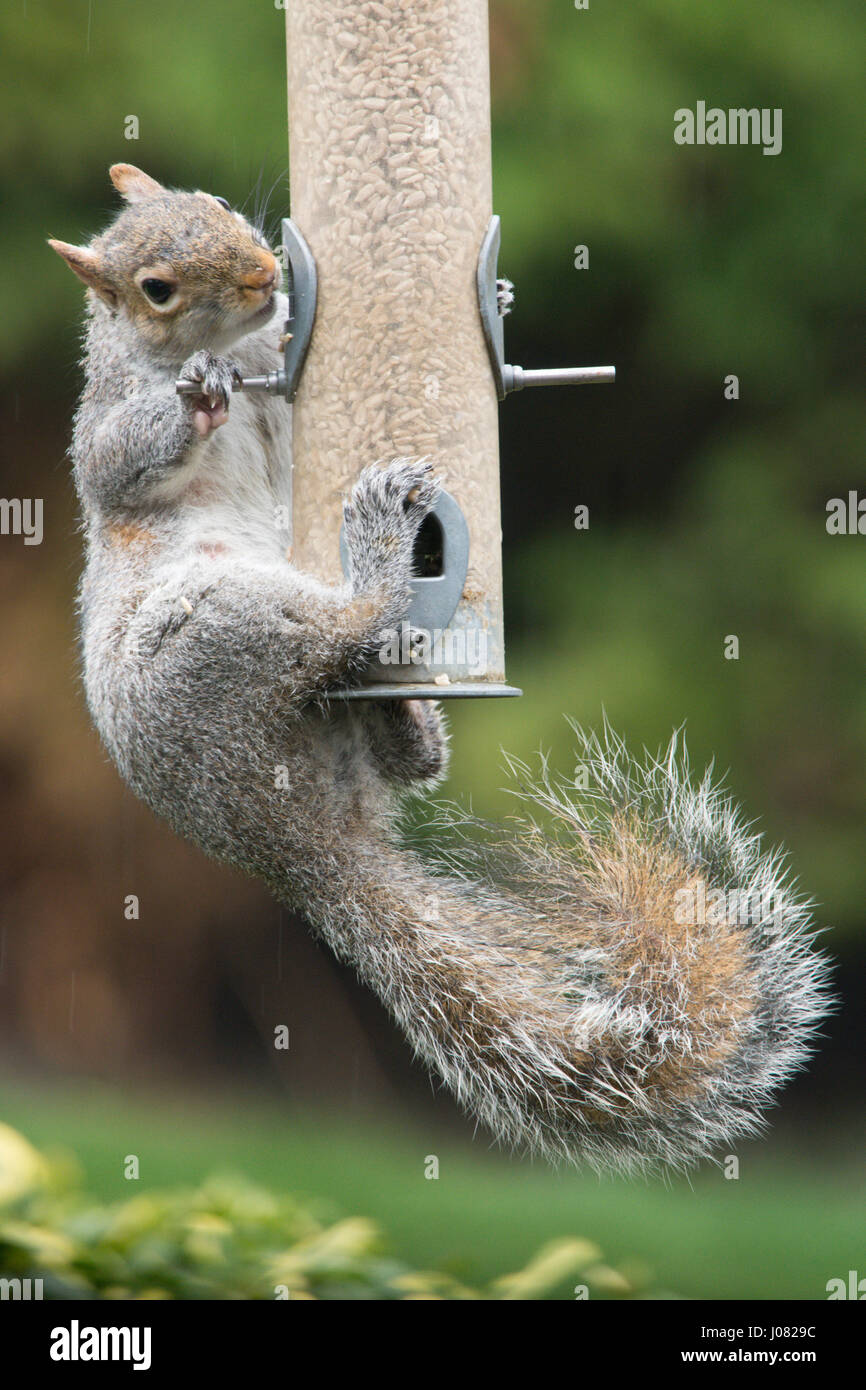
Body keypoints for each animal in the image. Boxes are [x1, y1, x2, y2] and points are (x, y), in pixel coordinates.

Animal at [50, 164, 831, 1174]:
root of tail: (293, 844)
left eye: (217, 206)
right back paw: (381, 561)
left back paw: (410, 722)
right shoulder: (104, 428)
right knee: (342, 629)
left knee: (381, 729)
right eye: (157, 289)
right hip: (213, 635)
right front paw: (197, 391)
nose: (265, 273)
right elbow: (118, 457)